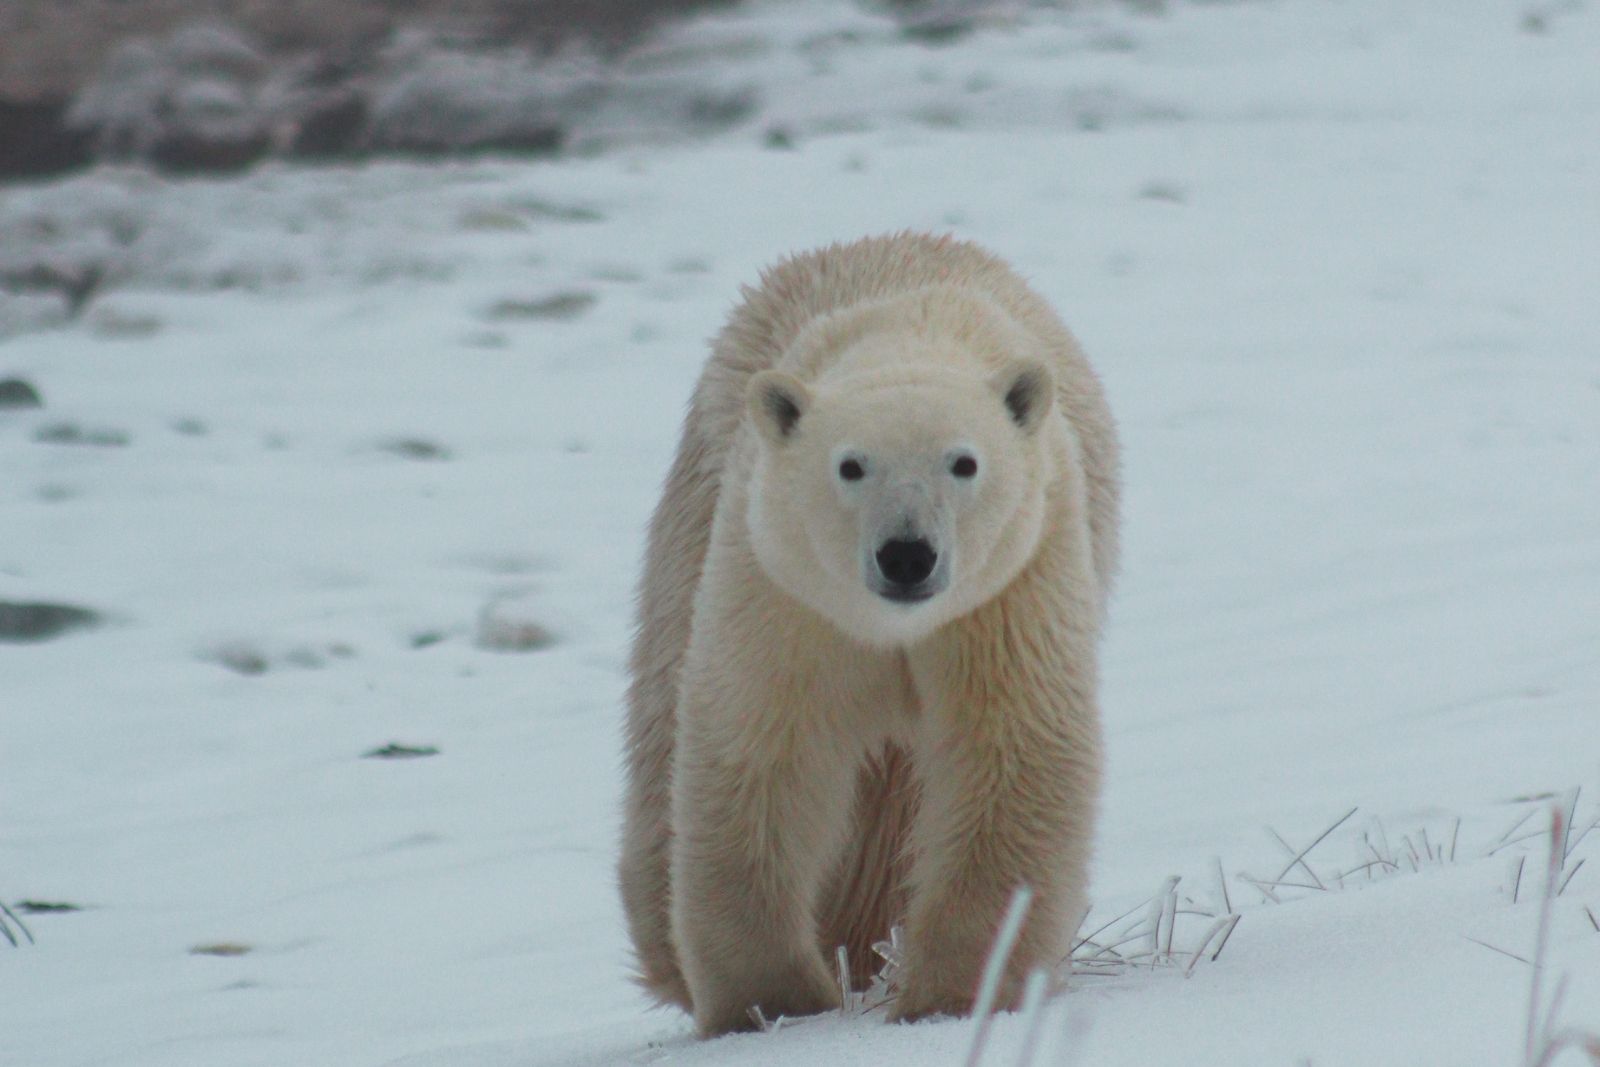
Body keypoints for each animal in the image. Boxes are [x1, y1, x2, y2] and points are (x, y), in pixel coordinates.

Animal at [618, 231, 1120, 1037]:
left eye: (964, 461)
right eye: (849, 465)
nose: (907, 554)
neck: (909, 329)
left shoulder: (1014, 584)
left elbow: (1010, 748)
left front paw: (957, 993)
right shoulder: (784, 584)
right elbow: (764, 750)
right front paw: (769, 998)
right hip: (689, 526)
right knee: (664, 728)